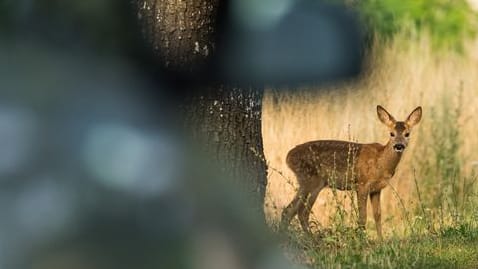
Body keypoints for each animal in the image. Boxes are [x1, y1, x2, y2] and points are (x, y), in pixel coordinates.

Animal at [280, 104, 422, 239]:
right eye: (391, 133)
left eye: (407, 134)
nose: (399, 146)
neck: (380, 162)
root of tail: (288, 157)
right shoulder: (362, 184)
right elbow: (363, 217)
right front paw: (361, 240)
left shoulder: (376, 189)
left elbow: (377, 215)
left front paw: (381, 241)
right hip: (311, 181)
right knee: (300, 212)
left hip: (307, 182)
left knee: (291, 211)